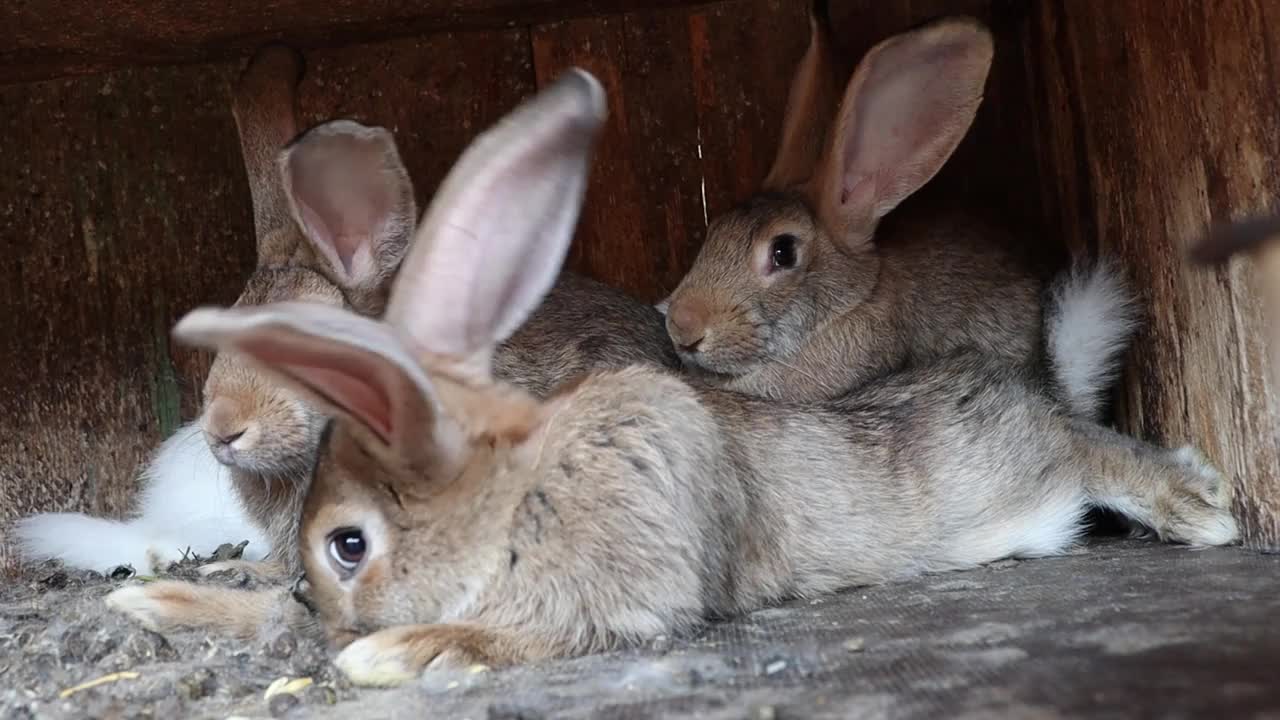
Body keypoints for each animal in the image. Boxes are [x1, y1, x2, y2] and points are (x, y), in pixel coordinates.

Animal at [115, 68, 1233, 681]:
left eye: (295, 342)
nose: (221, 429)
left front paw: (404, 653)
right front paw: (164, 605)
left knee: (1080, 444)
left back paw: (1194, 502)